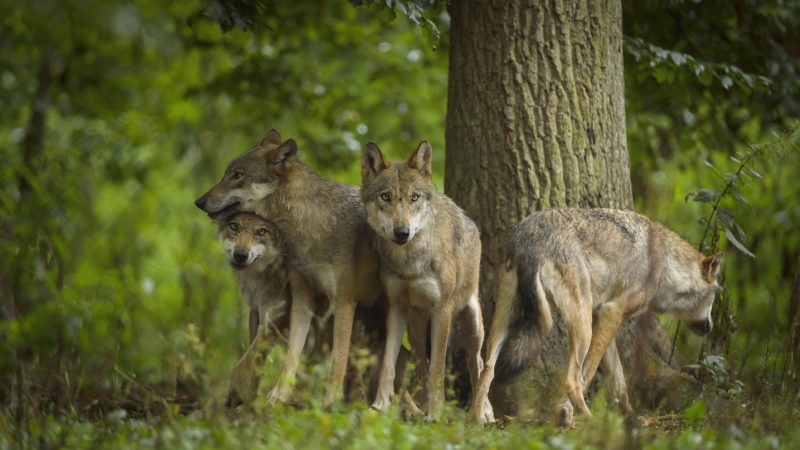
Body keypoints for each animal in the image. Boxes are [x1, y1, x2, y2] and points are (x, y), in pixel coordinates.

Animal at [198, 129, 390, 404]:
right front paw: (277, 396)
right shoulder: (301, 299)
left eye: (238, 175)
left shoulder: (343, 303)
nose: (199, 201)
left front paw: (329, 402)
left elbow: (337, 359)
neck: (310, 228)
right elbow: (290, 355)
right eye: (227, 173)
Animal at [360, 142, 490, 422]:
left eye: (414, 198)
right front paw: (379, 405)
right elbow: (388, 363)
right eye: (385, 197)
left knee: (478, 363)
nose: (402, 232)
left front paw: (436, 414)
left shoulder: (442, 310)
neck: (409, 262)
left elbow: (439, 368)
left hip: (472, 324)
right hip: (416, 327)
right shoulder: (397, 308)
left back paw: (484, 414)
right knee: (422, 363)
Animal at [468, 207, 724, 426]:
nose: (711, 328)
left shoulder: (603, 317)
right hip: (582, 330)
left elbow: (619, 382)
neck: (667, 266)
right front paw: (565, 414)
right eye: (715, 297)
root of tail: (530, 237)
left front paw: (632, 418)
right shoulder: (612, 313)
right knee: (572, 379)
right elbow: (589, 375)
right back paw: (587, 420)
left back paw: (475, 420)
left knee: (487, 369)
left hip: (504, 323)